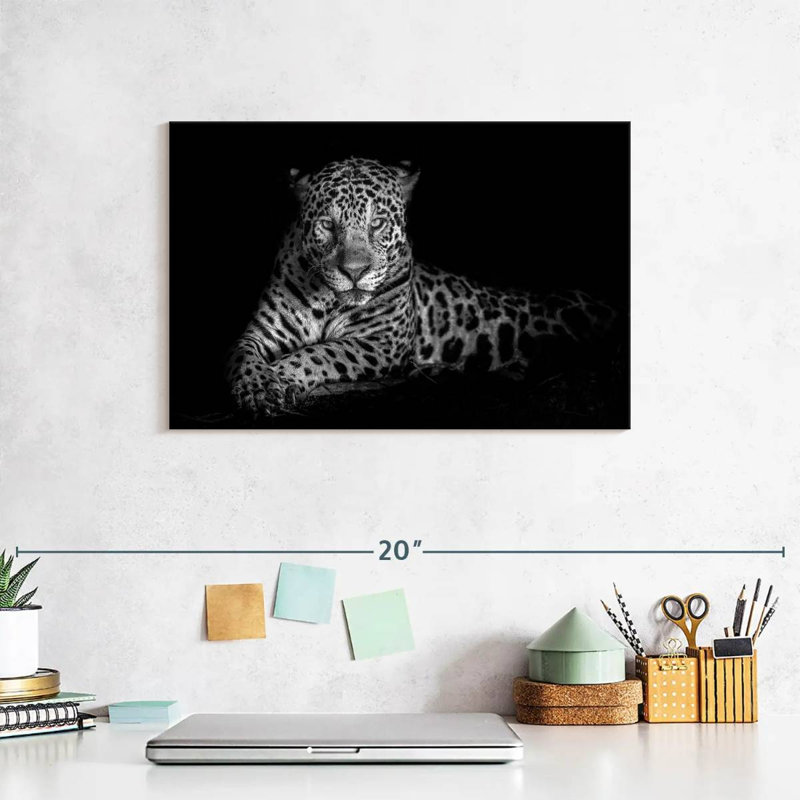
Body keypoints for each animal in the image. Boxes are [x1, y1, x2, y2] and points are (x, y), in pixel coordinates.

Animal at [226, 156, 615, 417]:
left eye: (378, 223)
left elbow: (322, 352)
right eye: (326, 224)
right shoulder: (259, 332)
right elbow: (242, 356)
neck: (328, 299)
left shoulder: (380, 342)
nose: (354, 271)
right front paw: (259, 387)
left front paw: (280, 376)